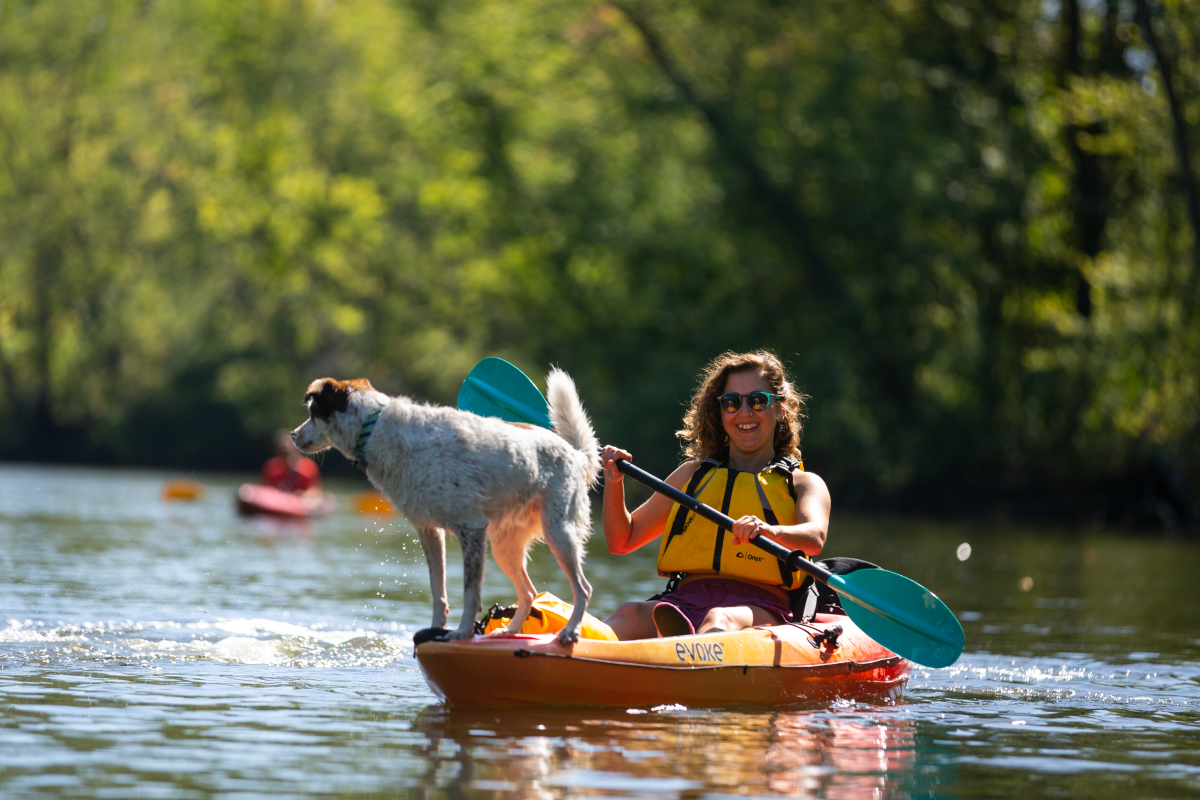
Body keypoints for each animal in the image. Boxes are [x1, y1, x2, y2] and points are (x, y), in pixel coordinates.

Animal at [291, 369, 600, 642]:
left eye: (312, 413)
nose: (292, 435)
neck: (376, 428)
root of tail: (575, 453)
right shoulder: (429, 532)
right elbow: (438, 591)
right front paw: (435, 630)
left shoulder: (471, 529)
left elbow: (470, 592)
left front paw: (461, 633)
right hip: (504, 548)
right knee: (529, 592)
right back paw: (510, 632)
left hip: (558, 534)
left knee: (583, 589)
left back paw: (569, 632)